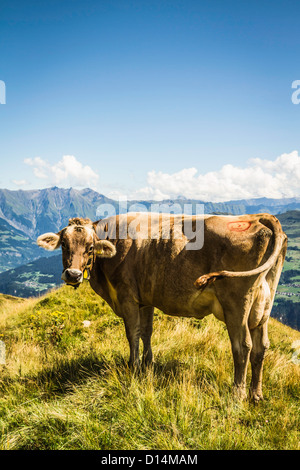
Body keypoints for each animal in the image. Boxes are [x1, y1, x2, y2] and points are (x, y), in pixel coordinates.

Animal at [36, 213, 288, 400]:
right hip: (263, 305)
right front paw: (148, 364)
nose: (73, 274)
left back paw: (237, 395)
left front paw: (133, 366)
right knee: (261, 346)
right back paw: (256, 394)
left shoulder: (127, 297)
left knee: (242, 346)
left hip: (237, 303)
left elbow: (132, 333)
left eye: (90, 247)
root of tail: (258, 218)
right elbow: (147, 332)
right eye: (64, 245)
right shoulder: (145, 299)